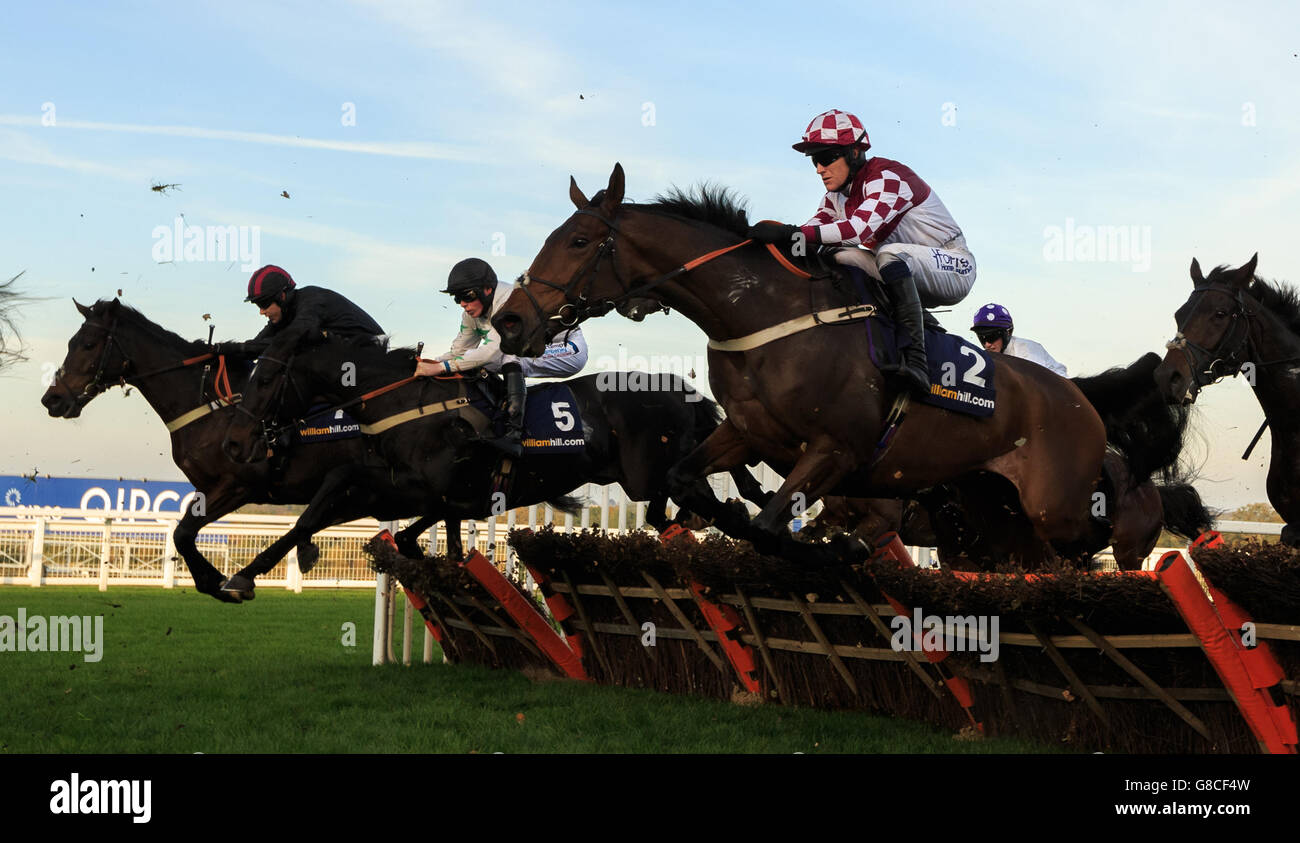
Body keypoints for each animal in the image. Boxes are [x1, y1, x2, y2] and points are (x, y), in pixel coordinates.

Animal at [40, 299, 441, 603]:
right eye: (72, 342)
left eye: (88, 344)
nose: (52, 399)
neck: (211, 403)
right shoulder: (207, 487)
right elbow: (183, 533)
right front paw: (216, 580)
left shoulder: (240, 484)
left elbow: (183, 533)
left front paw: (221, 582)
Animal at [220, 333, 769, 590]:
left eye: (264, 379)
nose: (236, 442)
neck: (402, 400)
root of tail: (684, 391)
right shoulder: (416, 489)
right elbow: (337, 501)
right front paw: (256, 570)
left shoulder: (421, 484)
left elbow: (344, 487)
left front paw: (251, 572)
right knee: (681, 500)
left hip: (647, 472)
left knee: (700, 497)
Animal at [491, 163, 1112, 572]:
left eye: (578, 241)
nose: (509, 321)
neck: (764, 314)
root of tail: (1081, 400)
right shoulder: (749, 431)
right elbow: (688, 482)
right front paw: (729, 514)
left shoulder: (835, 450)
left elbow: (772, 529)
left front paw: (825, 548)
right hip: (995, 507)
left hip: (1054, 508)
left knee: (1089, 543)